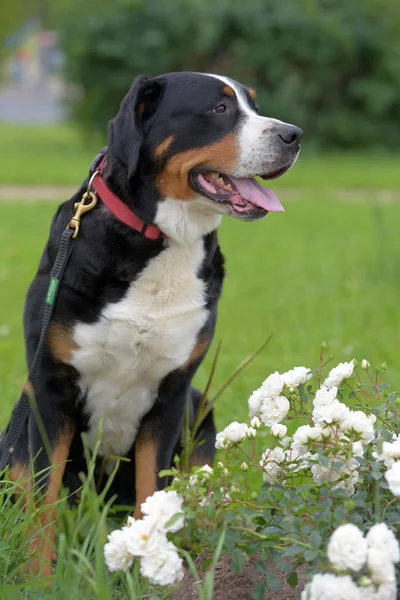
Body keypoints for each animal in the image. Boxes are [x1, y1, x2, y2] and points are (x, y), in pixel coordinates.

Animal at [0, 70, 302, 572]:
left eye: (254, 106)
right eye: (220, 109)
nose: (293, 135)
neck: (162, 241)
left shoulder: (172, 394)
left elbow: (151, 498)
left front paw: (151, 571)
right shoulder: (49, 389)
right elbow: (43, 503)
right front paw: (40, 578)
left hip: (200, 410)